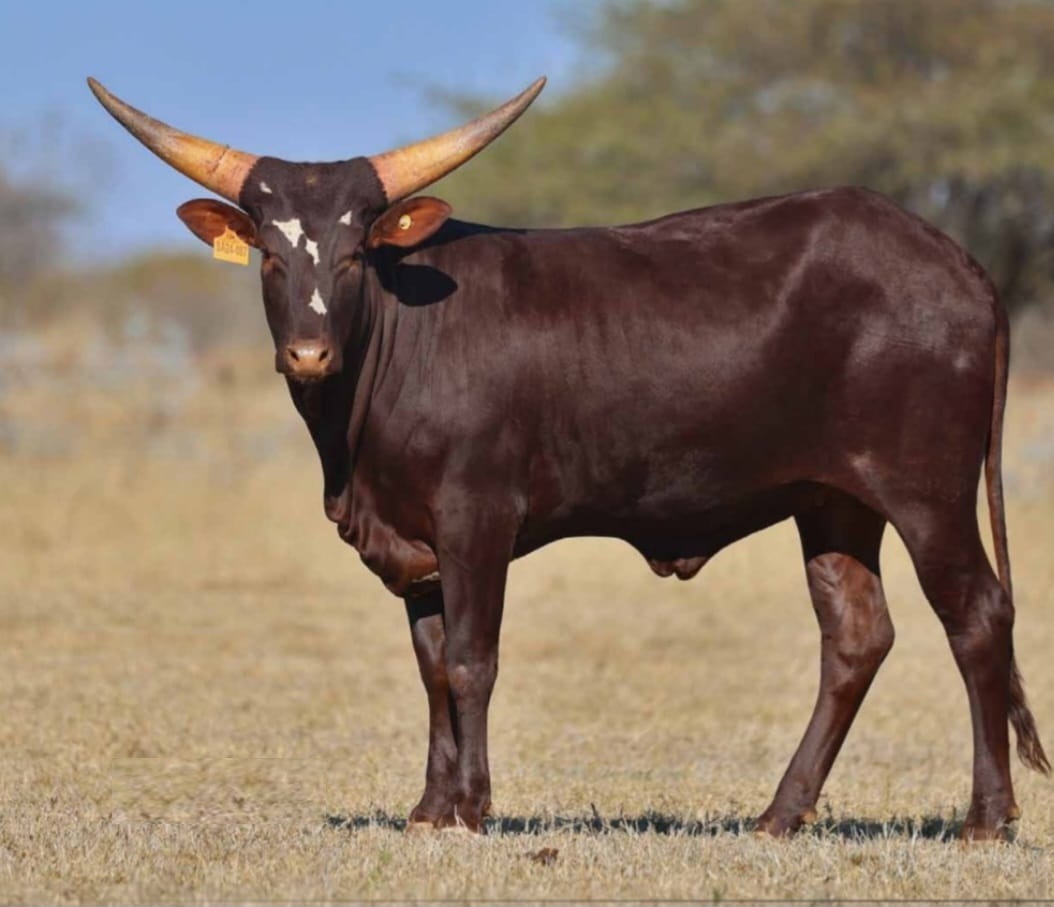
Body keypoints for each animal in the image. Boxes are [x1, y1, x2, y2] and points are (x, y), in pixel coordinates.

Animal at [88, 74, 1048, 840]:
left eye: (358, 250)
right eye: (269, 254)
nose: (309, 353)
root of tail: (957, 263)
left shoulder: (476, 518)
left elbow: (472, 659)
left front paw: (473, 807)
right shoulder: (415, 543)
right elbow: (431, 668)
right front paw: (429, 808)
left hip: (925, 491)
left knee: (977, 616)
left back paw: (987, 817)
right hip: (833, 501)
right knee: (856, 635)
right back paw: (780, 813)